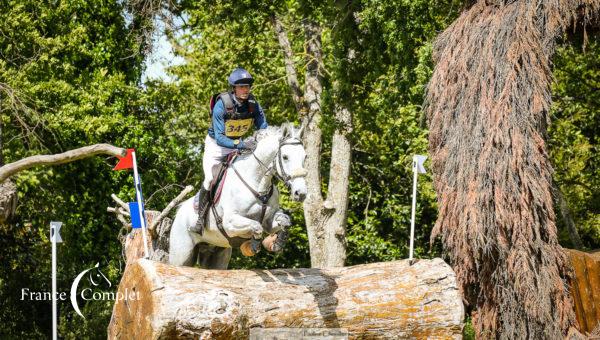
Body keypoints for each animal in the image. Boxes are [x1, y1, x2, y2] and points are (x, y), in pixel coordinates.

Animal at [170, 123, 308, 270]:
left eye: (305, 157)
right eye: (285, 157)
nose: (301, 193)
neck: (258, 185)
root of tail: (179, 212)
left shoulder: (269, 221)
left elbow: (284, 221)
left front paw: (277, 243)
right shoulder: (229, 223)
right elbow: (256, 226)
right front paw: (253, 246)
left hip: (218, 253)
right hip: (181, 254)